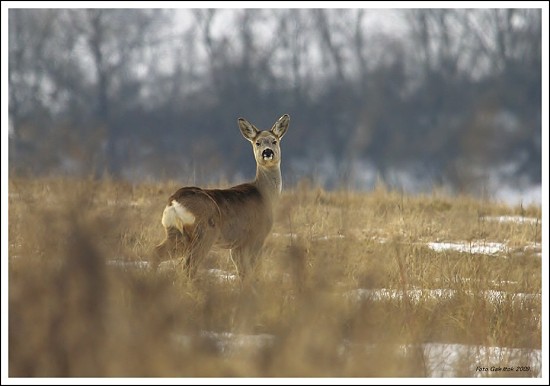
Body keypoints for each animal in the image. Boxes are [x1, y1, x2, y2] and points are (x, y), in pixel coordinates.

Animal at [154, 113, 292, 278]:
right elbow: (252, 270)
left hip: (175, 232)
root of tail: (173, 202)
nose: (267, 152)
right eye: (258, 143)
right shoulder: (256, 236)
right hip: (205, 233)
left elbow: (242, 272)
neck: (265, 195)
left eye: (274, 141)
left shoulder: (237, 245)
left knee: (157, 252)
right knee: (188, 266)